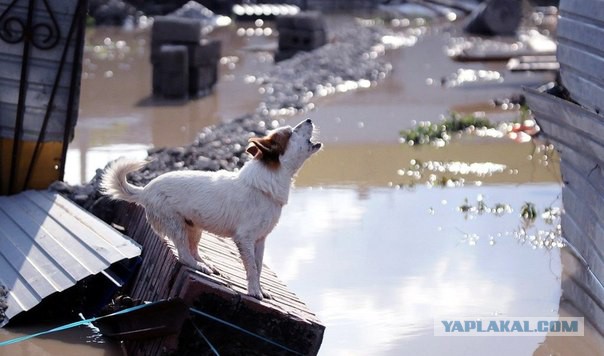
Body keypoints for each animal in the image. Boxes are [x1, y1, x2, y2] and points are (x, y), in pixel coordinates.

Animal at [101, 119, 324, 300]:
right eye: (291, 132)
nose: (309, 119)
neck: (268, 181)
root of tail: (145, 190)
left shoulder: (260, 240)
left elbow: (259, 267)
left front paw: (260, 289)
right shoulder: (245, 238)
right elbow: (252, 267)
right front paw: (254, 292)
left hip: (194, 228)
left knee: (193, 249)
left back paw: (207, 265)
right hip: (176, 225)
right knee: (184, 255)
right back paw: (200, 266)